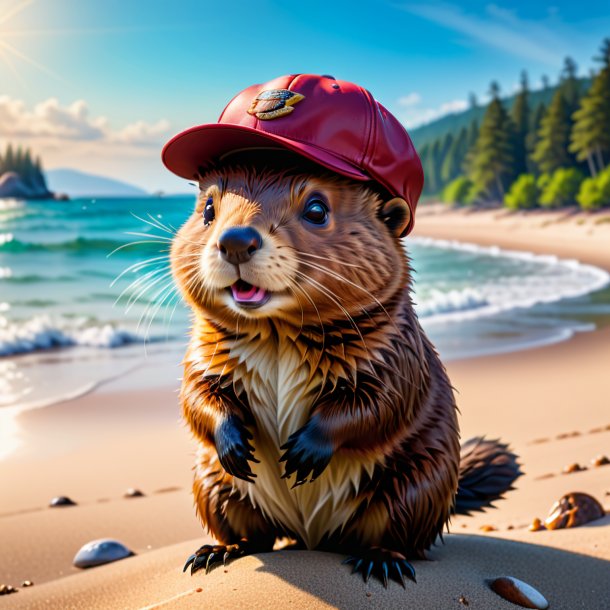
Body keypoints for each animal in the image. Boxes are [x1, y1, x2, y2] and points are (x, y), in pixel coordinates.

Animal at [162, 73, 516, 588]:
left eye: (316, 208)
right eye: (208, 209)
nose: (235, 241)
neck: (277, 336)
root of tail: (311, 537)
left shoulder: (396, 352)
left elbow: (378, 403)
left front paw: (303, 453)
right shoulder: (206, 350)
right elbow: (197, 395)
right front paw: (236, 444)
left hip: (414, 484)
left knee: (398, 534)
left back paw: (381, 561)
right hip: (211, 484)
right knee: (254, 535)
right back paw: (215, 551)